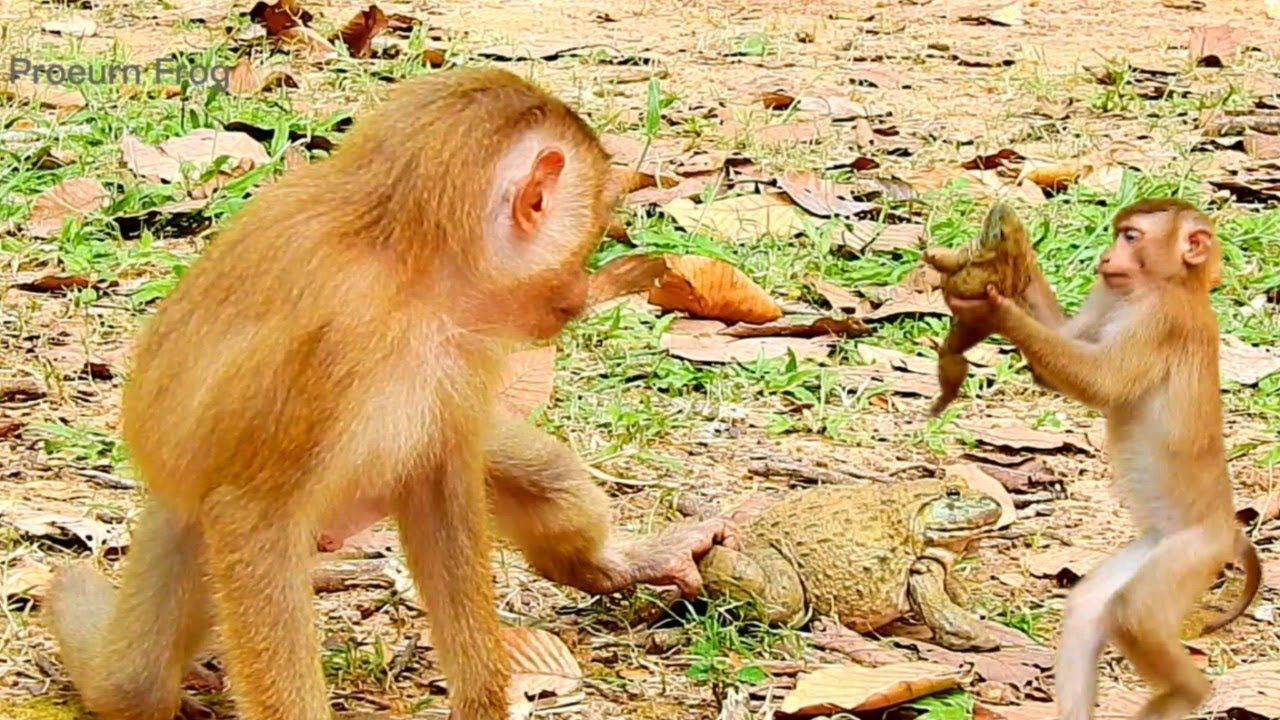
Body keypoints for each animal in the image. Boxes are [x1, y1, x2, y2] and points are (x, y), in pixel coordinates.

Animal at [42, 67, 728, 720]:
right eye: (590, 238)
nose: (579, 294)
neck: (407, 262)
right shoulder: (336, 337)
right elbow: (252, 519)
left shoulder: (462, 345)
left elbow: (440, 483)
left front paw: (481, 703)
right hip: (186, 530)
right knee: (133, 686)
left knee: (523, 468)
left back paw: (605, 563)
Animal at [921, 202, 1039, 416]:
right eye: (1020, 222)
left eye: (999, 230)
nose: (1001, 206)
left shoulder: (967, 253)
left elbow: (948, 261)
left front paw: (929, 254)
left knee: (950, 353)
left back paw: (942, 402)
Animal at [945, 197, 1261, 720]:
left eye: (1131, 237)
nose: (1106, 257)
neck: (1172, 284)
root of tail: (1229, 528)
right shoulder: (1109, 293)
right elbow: (1065, 343)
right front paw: (1017, 248)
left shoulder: (1161, 319)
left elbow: (1102, 382)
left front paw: (996, 308)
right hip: (1152, 547)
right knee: (1089, 606)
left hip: (1190, 553)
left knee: (1133, 614)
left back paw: (1188, 693)